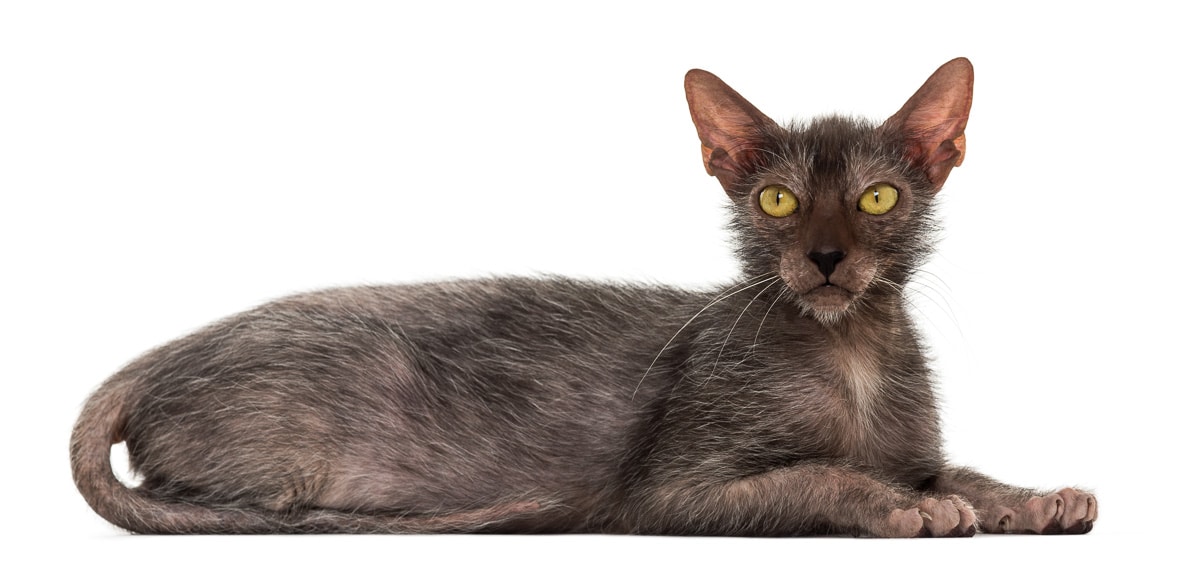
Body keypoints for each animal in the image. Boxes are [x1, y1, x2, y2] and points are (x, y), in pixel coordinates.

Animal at [68, 58, 1099, 537]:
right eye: (778, 200)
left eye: (878, 197)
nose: (826, 257)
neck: (847, 354)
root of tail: (156, 359)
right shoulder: (674, 492)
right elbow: (822, 476)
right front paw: (902, 508)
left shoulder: (918, 451)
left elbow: (962, 471)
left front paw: (1036, 499)